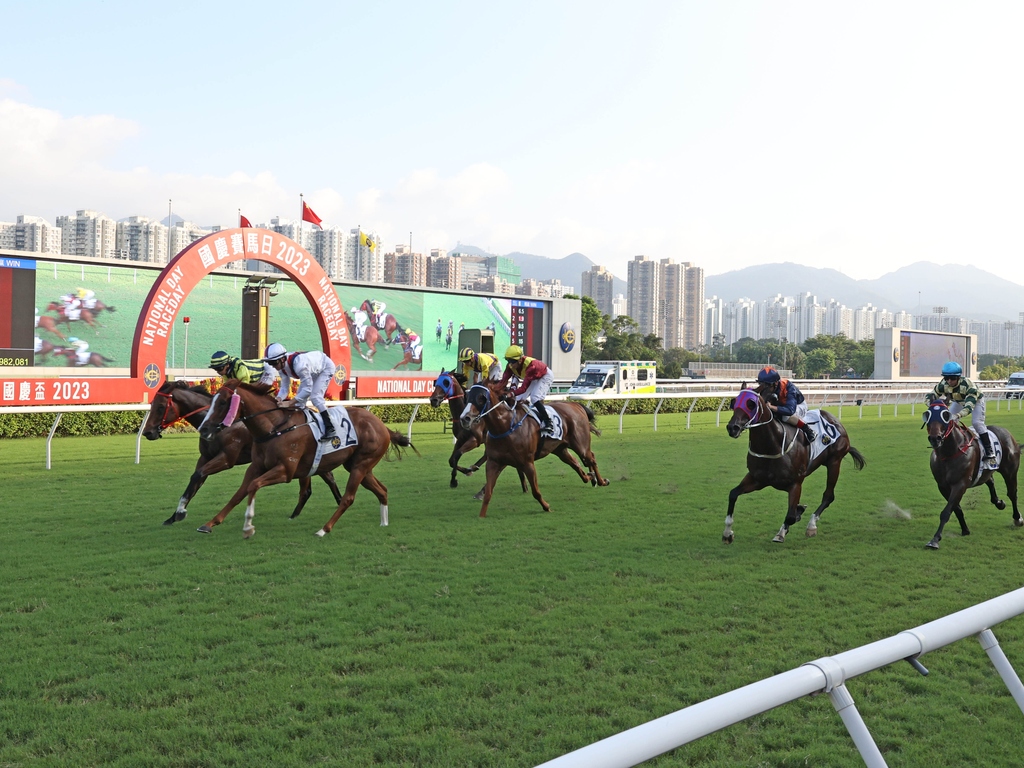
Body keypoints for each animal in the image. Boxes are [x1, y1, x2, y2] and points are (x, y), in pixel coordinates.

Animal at [142, 380, 342, 528]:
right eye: (152, 404)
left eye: (160, 407)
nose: (148, 432)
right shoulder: (205, 457)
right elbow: (195, 481)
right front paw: (174, 515)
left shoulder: (226, 458)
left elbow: (198, 475)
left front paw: (181, 512)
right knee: (317, 482)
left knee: (327, 479)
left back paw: (338, 502)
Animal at [197, 382, 413, 536]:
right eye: (213, 400)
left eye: (223, 402)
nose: (204, 429)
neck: (274, 428)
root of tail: (382, 425)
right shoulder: (256, 466)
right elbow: (239, 493)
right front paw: (209, 523)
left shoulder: (285, 471)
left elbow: (253, 486)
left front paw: (248, 525)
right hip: (359, 466)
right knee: (382, 490)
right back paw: (383, 522)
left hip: (361, 465)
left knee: (348, 498)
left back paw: (324, 529)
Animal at [458, 382, 606, 520]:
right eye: (467, 397)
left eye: (481, 398)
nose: (465, 418)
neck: (506, 427)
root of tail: (576, 405)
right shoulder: (494, 463)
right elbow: (488, 492)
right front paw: (481, 514)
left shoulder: (527, 463)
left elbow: (535, 491)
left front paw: (546, 507)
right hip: (560, 449)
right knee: (575, 463)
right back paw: (590, 477)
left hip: (581, 445)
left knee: (591, 458)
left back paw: (601, 481)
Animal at [720, 387, 864, 544]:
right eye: (734, 402)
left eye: (751, 403)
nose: (732, 427)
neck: (772, 445)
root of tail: (834, 420)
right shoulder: (757, 479)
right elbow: (733, 494)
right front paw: (727, 533)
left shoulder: (795, 483)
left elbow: (790, 516)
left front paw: (782, 532)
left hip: (834, 462)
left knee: (828, 496)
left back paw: (811, 525)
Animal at [925, 399, 1019, 548]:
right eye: (927, 414)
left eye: (945, 415)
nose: (935, 438)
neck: (949, 452)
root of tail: (1008, 433)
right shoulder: (942, 486)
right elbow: (956, 508)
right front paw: (965, 529)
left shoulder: (960, 484)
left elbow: (946, 511)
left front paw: (934, 539)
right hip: (986, 471)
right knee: (990, 481)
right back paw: (999, 502)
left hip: (1010, 471)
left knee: (1012, 493)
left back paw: (1017, 519)